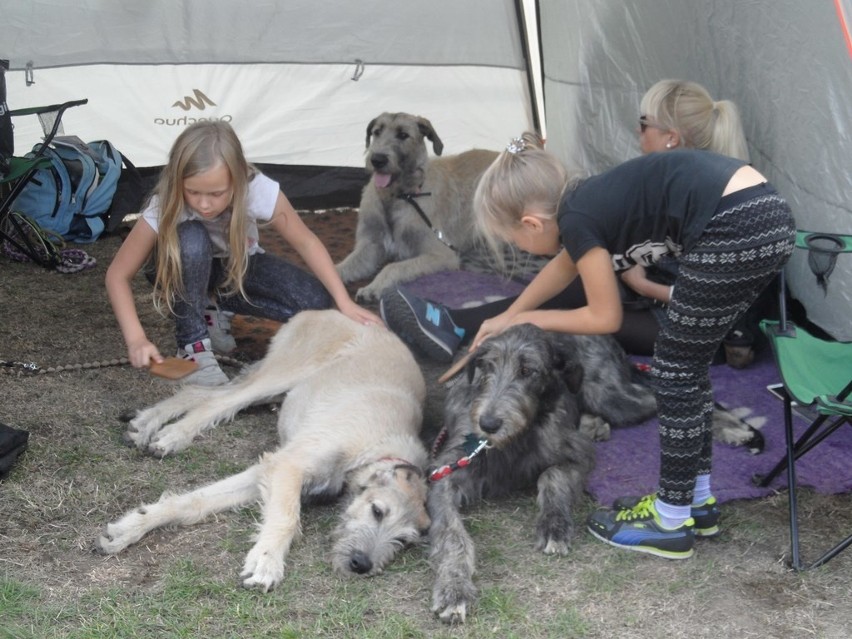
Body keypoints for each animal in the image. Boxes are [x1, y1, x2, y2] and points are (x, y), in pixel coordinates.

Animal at [95, 310, 430, 592]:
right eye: (377, 511)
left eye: (403, 541)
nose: (362, 564)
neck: (375, 450)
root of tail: (325, 310)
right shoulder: (288, 466)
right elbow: (286, 516)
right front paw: (267, 562)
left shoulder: (265, 472)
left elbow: (195, 501)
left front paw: (131, 526)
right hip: (282, 374)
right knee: (220, 401)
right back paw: (173, 434)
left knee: (203, 392)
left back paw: (146, 423)